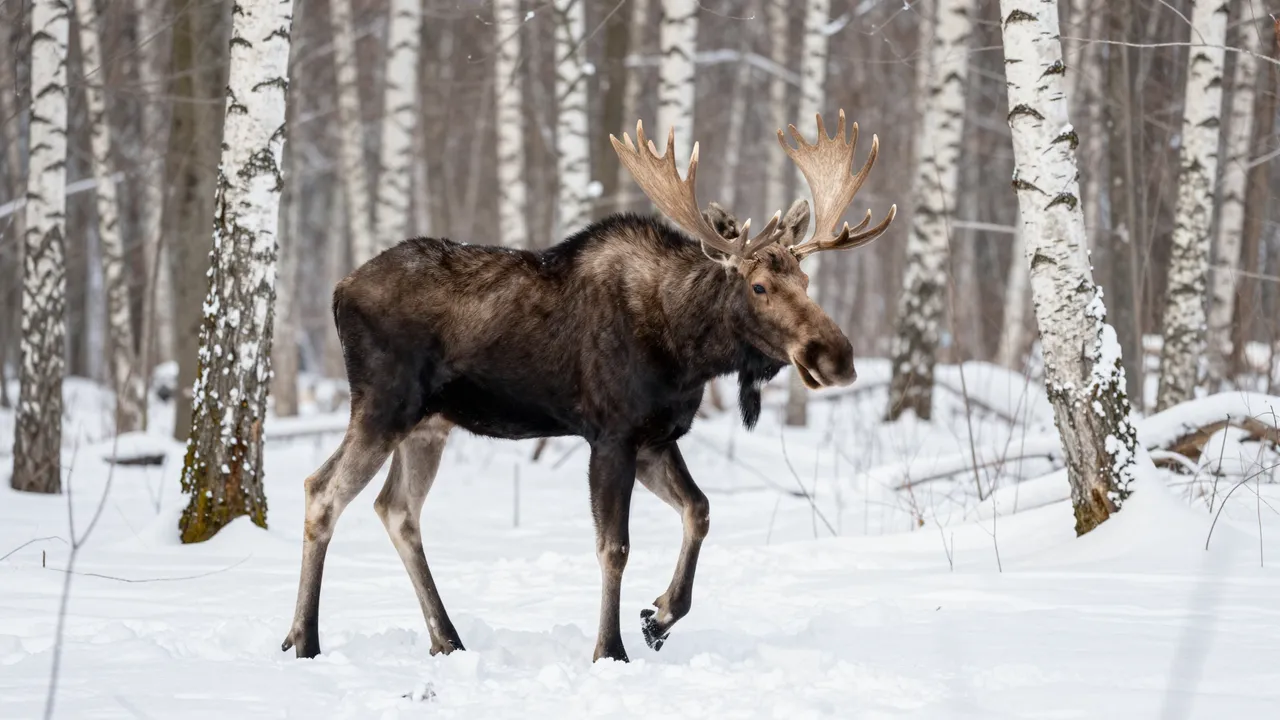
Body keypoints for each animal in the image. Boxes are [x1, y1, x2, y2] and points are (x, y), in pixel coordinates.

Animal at [281, 111, 896, 663]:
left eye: (806, 280)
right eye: (760, 285)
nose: (837, 357)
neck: (688, 349)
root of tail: (338, 290)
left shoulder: (655, 437)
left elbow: (699, 510)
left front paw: (658, 617)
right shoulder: (611, 435)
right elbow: (614, 547)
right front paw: (611, 649)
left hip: (428, 425)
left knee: (397, 509)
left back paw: (446, 639)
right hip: (384, 406)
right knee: (322, 491)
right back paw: (304, 640)